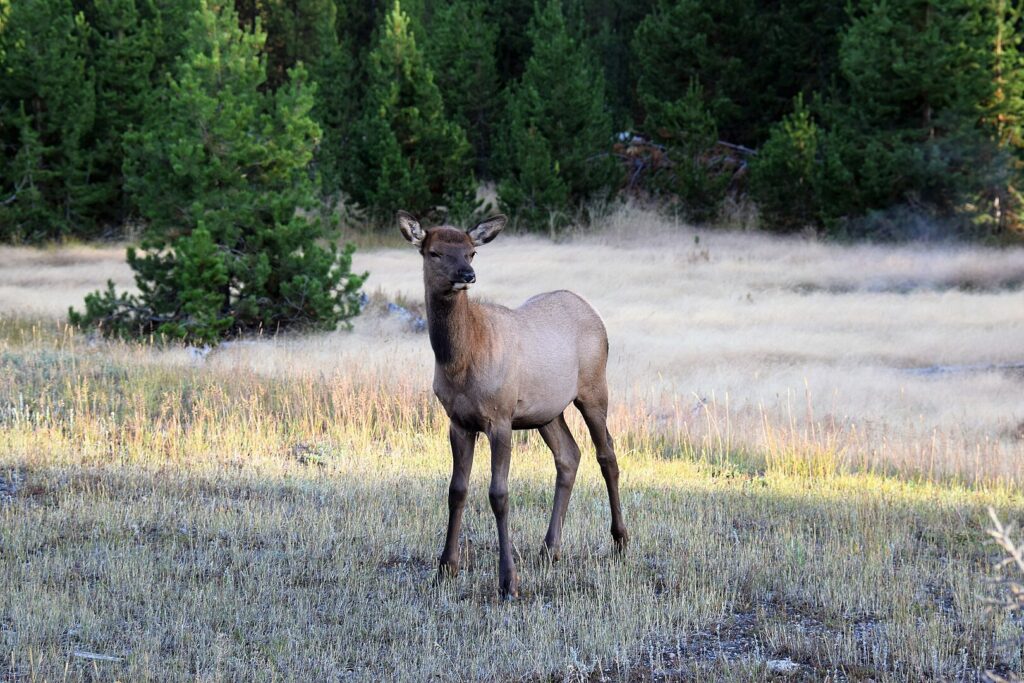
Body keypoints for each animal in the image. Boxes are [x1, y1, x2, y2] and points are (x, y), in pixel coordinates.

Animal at [398, 210, 629, 598]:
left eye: (471, 252)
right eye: (434, 252)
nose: (467, 275)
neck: (461, 361)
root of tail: (592, 311)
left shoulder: (500, 416)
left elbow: (499, 494)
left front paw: (508, 581)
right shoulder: (457, 421)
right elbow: (456, 490)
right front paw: (445, 568)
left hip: (594, 387)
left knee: (607, 454)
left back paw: (620, 539)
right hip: (546, 411)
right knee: (569, 455)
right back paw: (550, 548)